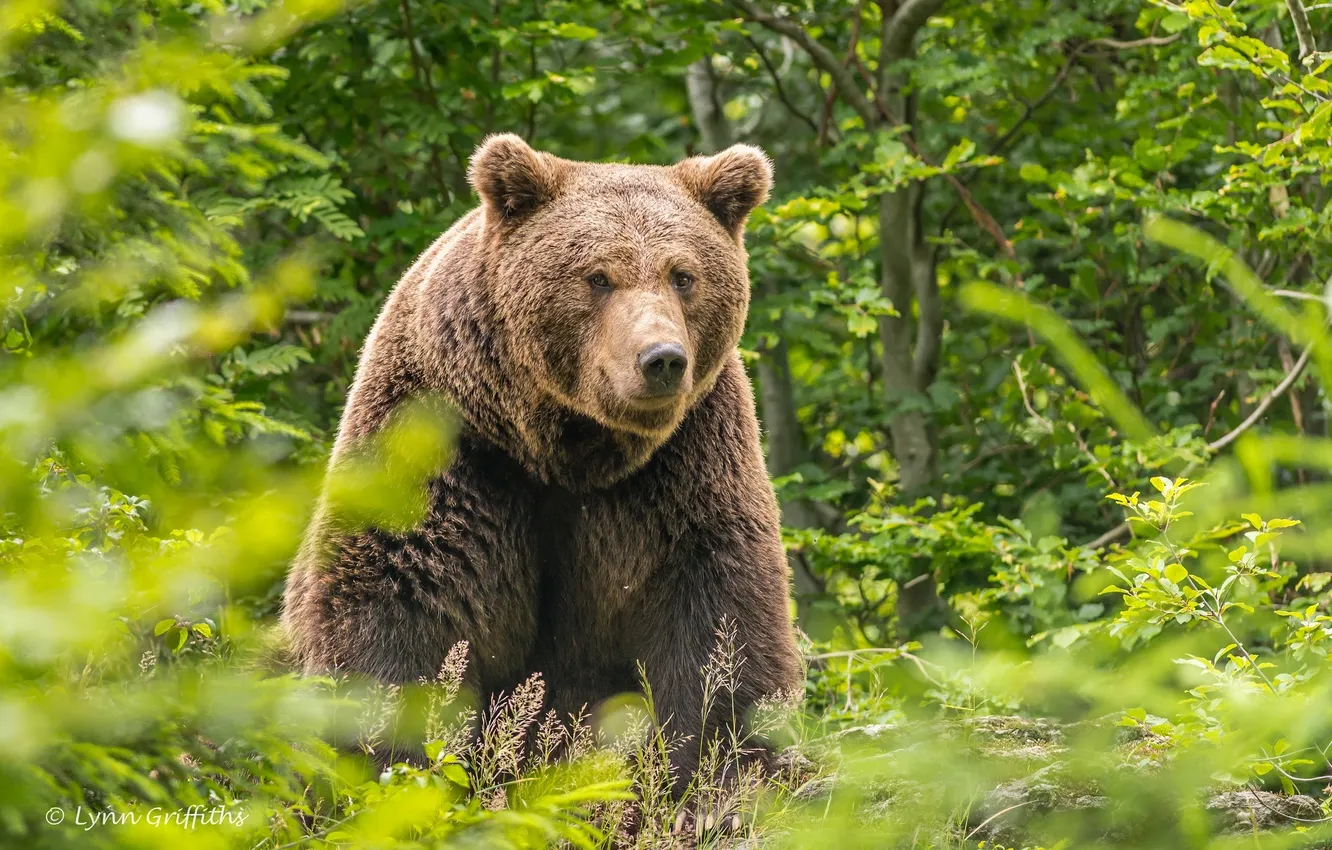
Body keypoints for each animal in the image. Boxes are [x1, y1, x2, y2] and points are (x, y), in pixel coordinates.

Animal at [282, 133, 799, 788]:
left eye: (683, 275)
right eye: (598, 276)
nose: (661, 359)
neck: (567, 447)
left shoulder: (687, 467)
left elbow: (718, 625)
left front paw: (713, 775)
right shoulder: (449, 447)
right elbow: (400, 599)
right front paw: (386, 758)